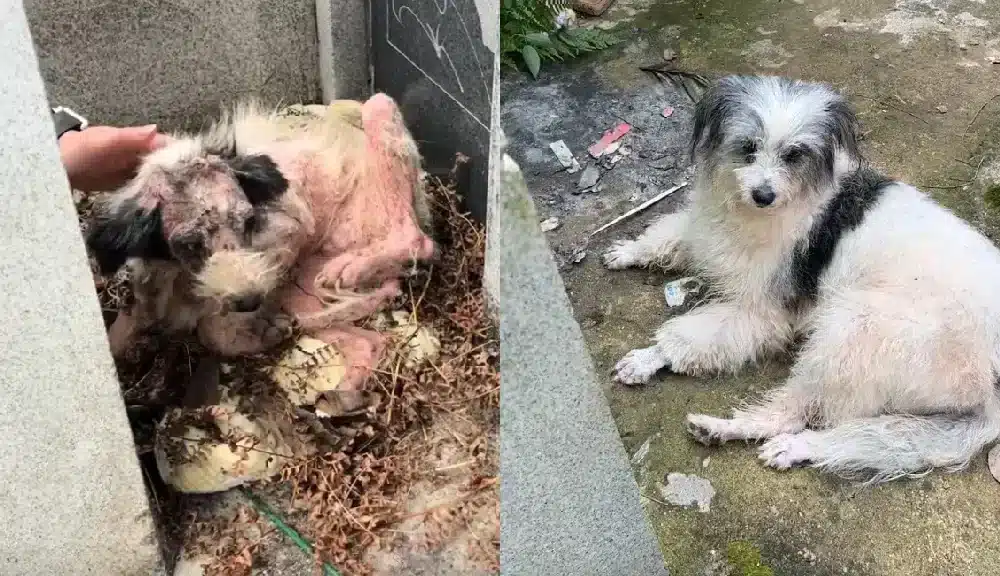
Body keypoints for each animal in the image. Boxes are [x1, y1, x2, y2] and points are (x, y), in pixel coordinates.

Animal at [83, 95, 434, 392]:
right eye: (190, 244)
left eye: (248, 222)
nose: (251, 301)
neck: (180, 280)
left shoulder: (286, 239)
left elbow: (211, 329)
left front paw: (259, 332)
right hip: (302, 289)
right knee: (368, 340)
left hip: (379, 112)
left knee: (418, 240)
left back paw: (353, 267)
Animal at [600, 74, 1000, 484]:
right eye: (748, 147)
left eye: (794, 154)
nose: (763, 195)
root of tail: (990, 383)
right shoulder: (708, 231)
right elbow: (670, 235)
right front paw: (629, 251)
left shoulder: (762, 312)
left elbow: (692, 337)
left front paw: (648, 357)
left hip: (854, 334)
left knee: (792, 413)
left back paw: (731, 431)